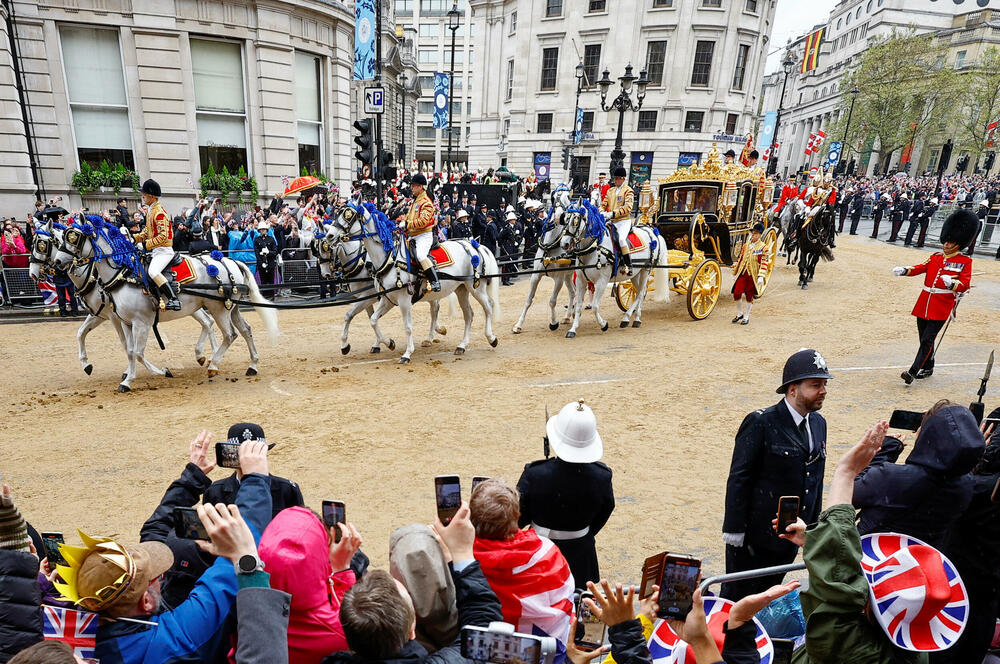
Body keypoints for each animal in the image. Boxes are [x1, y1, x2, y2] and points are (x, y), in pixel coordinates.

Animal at [29, 222, 219, 378]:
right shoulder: (100, 314)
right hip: (194, 305)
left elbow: (127, 345)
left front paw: (134, 372)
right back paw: (206, 356)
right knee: (208, 322)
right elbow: (81, 333)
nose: (32, 273)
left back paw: (211, 356)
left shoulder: (116, 317)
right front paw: (86, 364)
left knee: (209, 321)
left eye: (41, 244)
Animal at [54, 220, 278, 392]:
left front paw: (157, 372)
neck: (124, 275)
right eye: (60, 239)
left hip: (219, 308)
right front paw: (128, 378)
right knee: (245, 330)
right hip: (231, 308)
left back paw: (213, 364)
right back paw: (252, 364)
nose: (57, 262)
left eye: (73, 238)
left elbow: (138, 353)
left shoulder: (141, 322)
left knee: (230, 334)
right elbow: (129, 350)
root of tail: (229, 260)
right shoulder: (124, 321)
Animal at [330, 201, 498, 364]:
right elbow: (371, 320)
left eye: (348, 216)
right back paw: (461, 345)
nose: (330, 235)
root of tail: (473, 245)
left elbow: (408, 327)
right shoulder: (386, 299)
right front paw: (388, 343)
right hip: (461, 289)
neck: (390, 259)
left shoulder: (403, 300)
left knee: (488, 307)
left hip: (475, 288)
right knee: (468, 314)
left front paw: (407, 353)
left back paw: (491, 338)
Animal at [516, 185, 580, 332]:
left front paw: (553, 322)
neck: (550, 245)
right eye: (553, 197)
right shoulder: (535, 276)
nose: (558, 216)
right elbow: (528, 300)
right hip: (568, 275)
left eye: (568, 197)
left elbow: (552, 301)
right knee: (573, 293)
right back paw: (568, 316)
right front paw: (518, 324)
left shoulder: (558, 278)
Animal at [560, 201, 668, 338]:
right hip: (635, 274)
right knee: (639, 292)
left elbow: (595, 307)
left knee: (641, 292)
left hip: (646, 270)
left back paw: (635, 319)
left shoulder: (602, 281)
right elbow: (578, 306)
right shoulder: (581, 281)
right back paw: (628, 318)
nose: (564, 244)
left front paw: (604, 325)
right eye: (564, 219)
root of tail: (651, 230)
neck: (593, 248)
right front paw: (573, 329)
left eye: (575, 220)